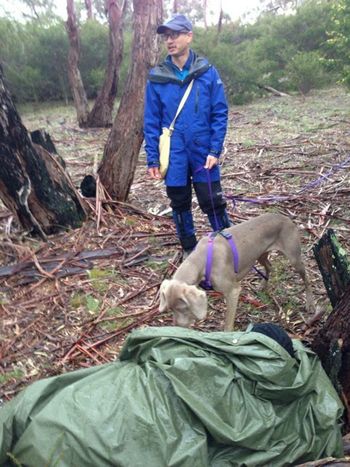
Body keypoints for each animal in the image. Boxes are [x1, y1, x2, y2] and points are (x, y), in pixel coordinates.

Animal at [159, 214, 314, 330]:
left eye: (183, 309)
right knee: (269, 266)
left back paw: (310, 304)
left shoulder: (233, 291)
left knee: (306, 277)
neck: (201, 259)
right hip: (259, 255)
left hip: (294, 258)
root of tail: (286, 218)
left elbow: (228, 324)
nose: (177, 326)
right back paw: (263, 286)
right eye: (171, 310)